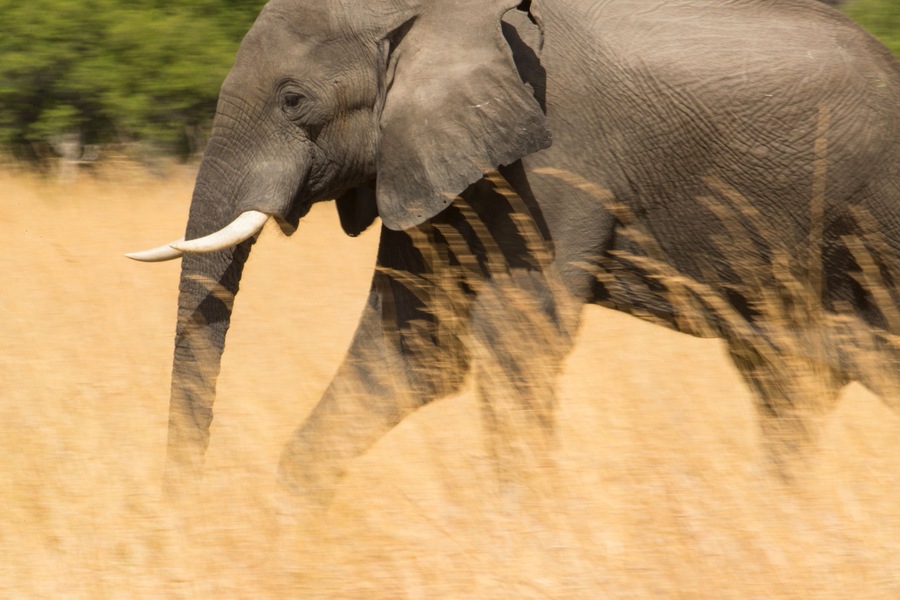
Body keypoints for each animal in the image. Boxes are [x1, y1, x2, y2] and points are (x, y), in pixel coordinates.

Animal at [128, 0, 900, 504]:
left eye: (292, 100)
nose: (182, 517)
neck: (437, 14)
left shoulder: (558, 156)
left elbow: (518, 336)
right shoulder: (431, 155)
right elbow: (414, 347)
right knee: (795, 378)